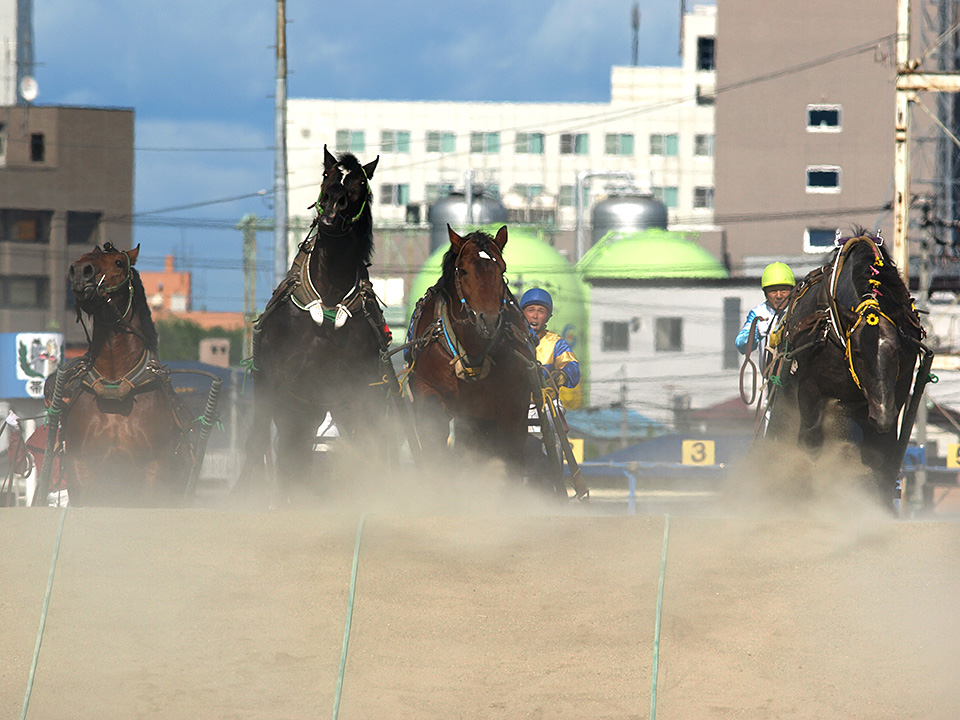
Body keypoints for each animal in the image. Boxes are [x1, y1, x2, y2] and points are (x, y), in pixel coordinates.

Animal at [45, 243, 192, 506]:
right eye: (83, 257)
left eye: (118, 263)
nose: (81, 271)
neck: (113, 386)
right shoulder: (81, 466)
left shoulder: (153, 468)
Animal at [237, 146, 392, 502]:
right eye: (327, 175)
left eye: (360, 183)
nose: (333, 205)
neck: (330, 296)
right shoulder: (284, 385)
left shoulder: (354, 391)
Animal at [766, 230, 927, 503]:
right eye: (859, 353)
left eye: (896, 351)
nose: (882, 415)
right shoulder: (809, 390)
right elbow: (809, 443)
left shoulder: (897, 390)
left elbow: (880, 456)